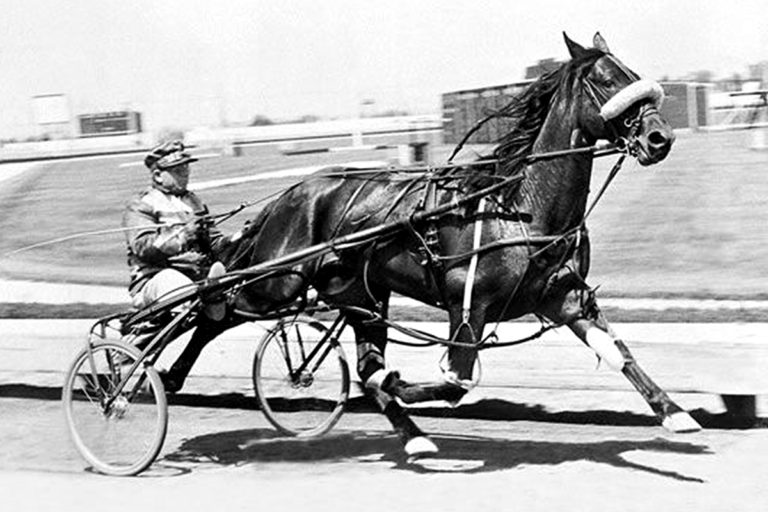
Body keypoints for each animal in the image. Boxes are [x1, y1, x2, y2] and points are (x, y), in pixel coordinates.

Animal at [162, 32, 701, 457]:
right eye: (607, 81)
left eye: (635, 75)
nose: (660, 137)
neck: (518, 206)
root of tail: (292, 193)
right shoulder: (469, 304)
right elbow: (454, 383)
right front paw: (402, 383)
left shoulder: (562, 297)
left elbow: (620, 352)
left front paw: (675, 412)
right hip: (278, 281)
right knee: (213, 310)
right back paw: (162, 375)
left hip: (358, 294)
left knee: (358, 363)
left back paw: (414, 436)